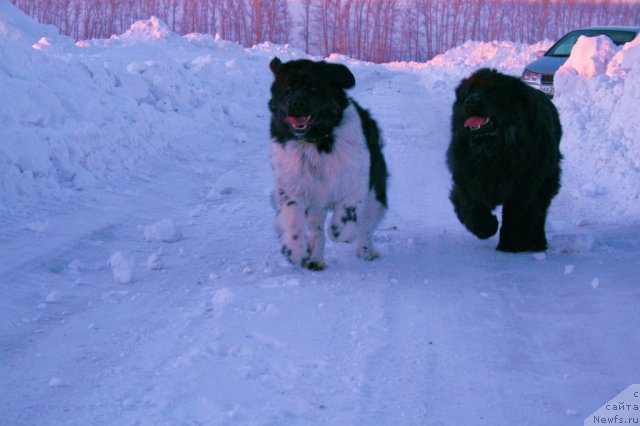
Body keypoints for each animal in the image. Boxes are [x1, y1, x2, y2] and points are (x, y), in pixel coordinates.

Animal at [268, 57, 388, 270]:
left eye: (314, 88)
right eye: (288, 87)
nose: (296, 103)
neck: (315, 143)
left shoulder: (357, 181)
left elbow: (347, 219)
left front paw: (343, 232)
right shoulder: (293, 185)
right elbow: (292, 217)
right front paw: (296, 250)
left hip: (376, 191)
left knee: (367, 225)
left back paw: (365, 251)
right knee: (317, 230)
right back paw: (314, 258)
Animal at [448, 68, 564, 251]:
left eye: (493, 91)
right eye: (469, 91)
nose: (471, 100)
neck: (492, 151)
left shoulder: (523, 187)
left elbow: (515, 215)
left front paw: (510, 244)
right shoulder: (466, 178)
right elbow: (471, 205)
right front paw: (486, 227)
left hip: (547, 180)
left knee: (539, 211)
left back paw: (537, 242)